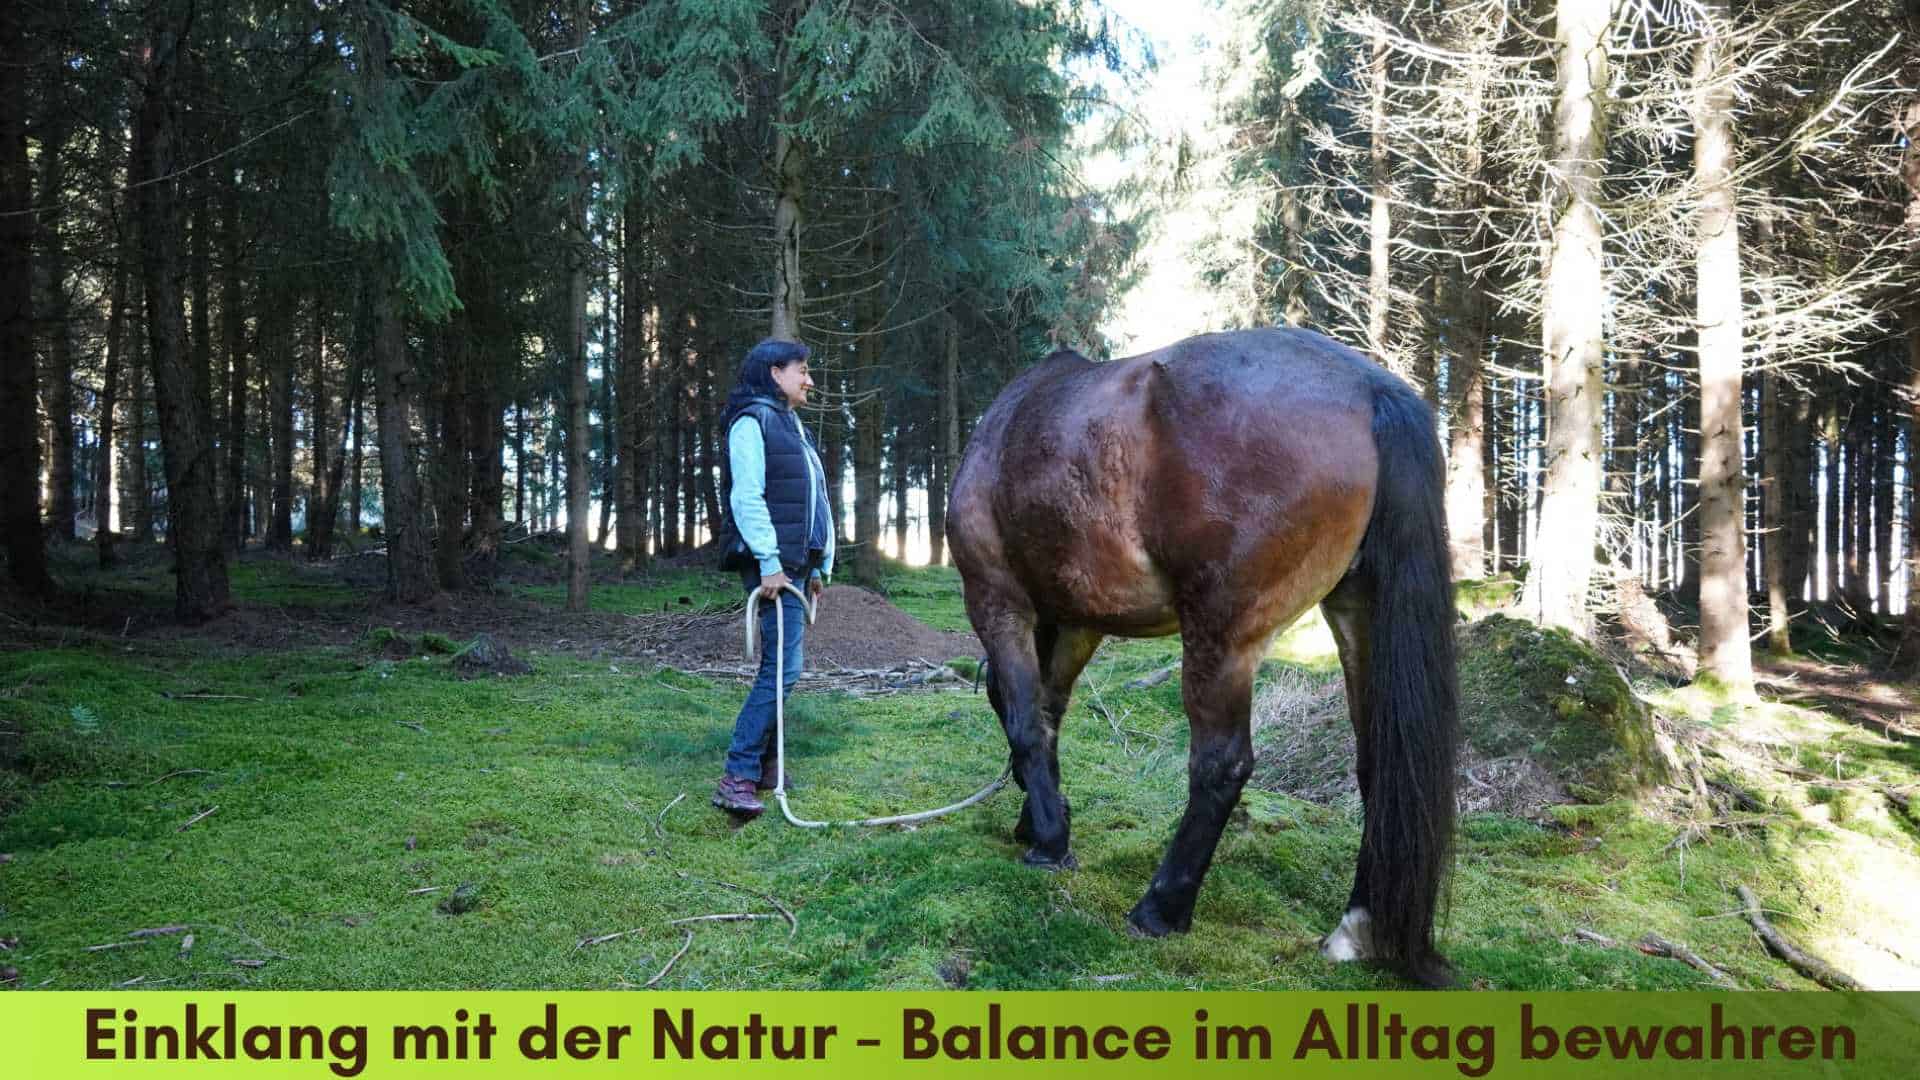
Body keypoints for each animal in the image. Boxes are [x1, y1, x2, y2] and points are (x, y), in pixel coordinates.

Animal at [952, 326, 1459, 983]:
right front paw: (1045, 819)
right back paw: (1357, 928)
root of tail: (1372, 389)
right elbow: (1048, 711)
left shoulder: (996, 598)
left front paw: (1047, 841)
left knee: (1221, 765)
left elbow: (1023, 720)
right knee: (1379, 762)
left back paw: (1161, 908)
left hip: (1221, 637)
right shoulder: (1079, 621)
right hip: (1358, 611)